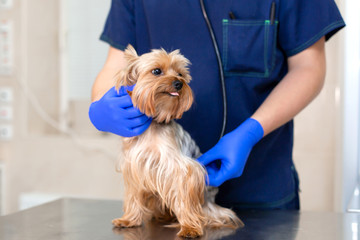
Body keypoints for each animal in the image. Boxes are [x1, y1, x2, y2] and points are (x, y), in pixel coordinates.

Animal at [111, 45, 243, 238]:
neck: (154, 122)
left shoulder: (180, 170)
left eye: (180, 74)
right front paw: (129, 220)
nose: (179, 83)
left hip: (206, 202)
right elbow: (134, 196)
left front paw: (189, 227)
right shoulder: (134, 166)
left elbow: (183, 198)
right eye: (156, 71)